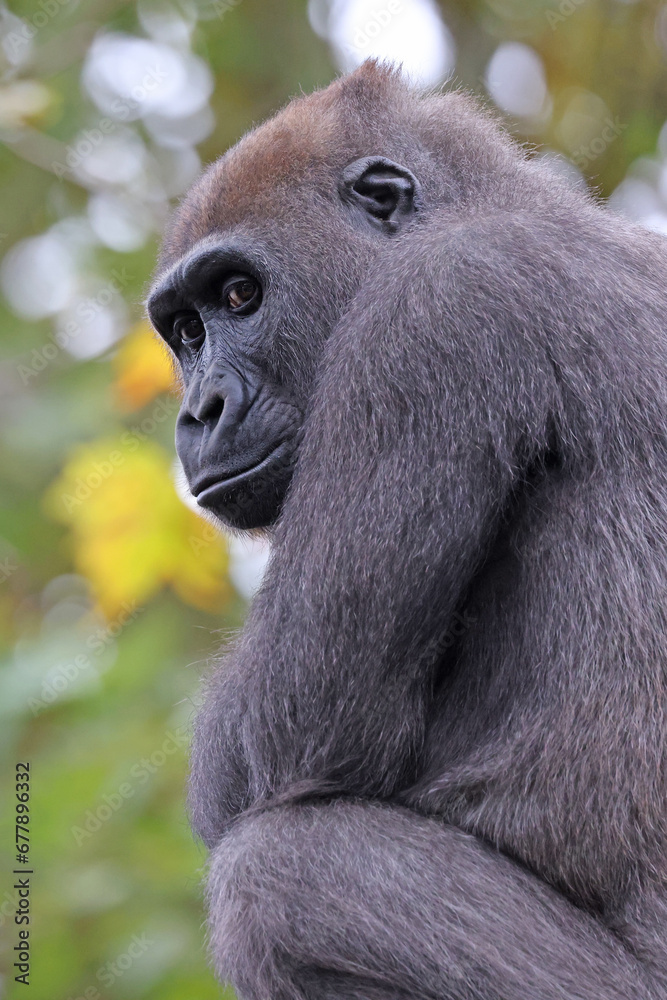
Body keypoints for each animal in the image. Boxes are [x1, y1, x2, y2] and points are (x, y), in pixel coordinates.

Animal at [147, 61, 667, 999]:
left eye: (239, 294)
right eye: (185, 332)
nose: (198, 413)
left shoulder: (427, 311)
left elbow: (284, 727)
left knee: (278, 883)